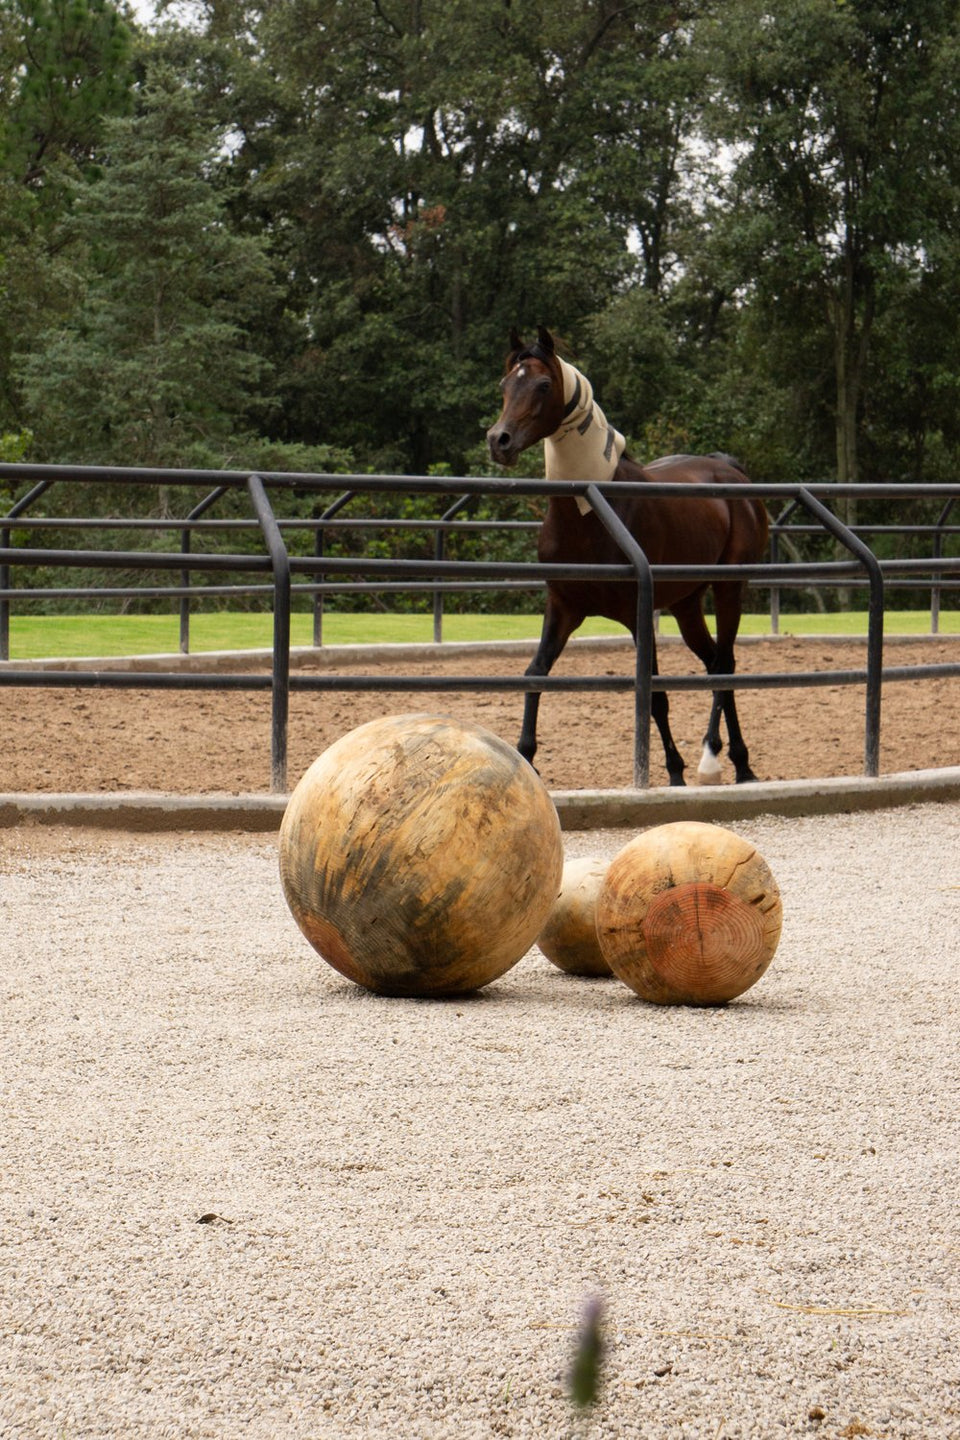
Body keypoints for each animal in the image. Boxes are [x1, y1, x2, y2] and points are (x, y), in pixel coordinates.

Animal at [483, 329, 771, 789]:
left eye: (543, 385)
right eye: (505, 384)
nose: (499, 440)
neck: (589, 514)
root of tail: (731, 473)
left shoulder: (639, 616)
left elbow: (654, 695)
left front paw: (675, 772)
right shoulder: (563, 608)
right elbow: (534, 673)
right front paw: (525, 755)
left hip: (730, 589)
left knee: (725, 663)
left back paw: (724, 760)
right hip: (686, 605)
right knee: (713, 661)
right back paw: (731, 760)